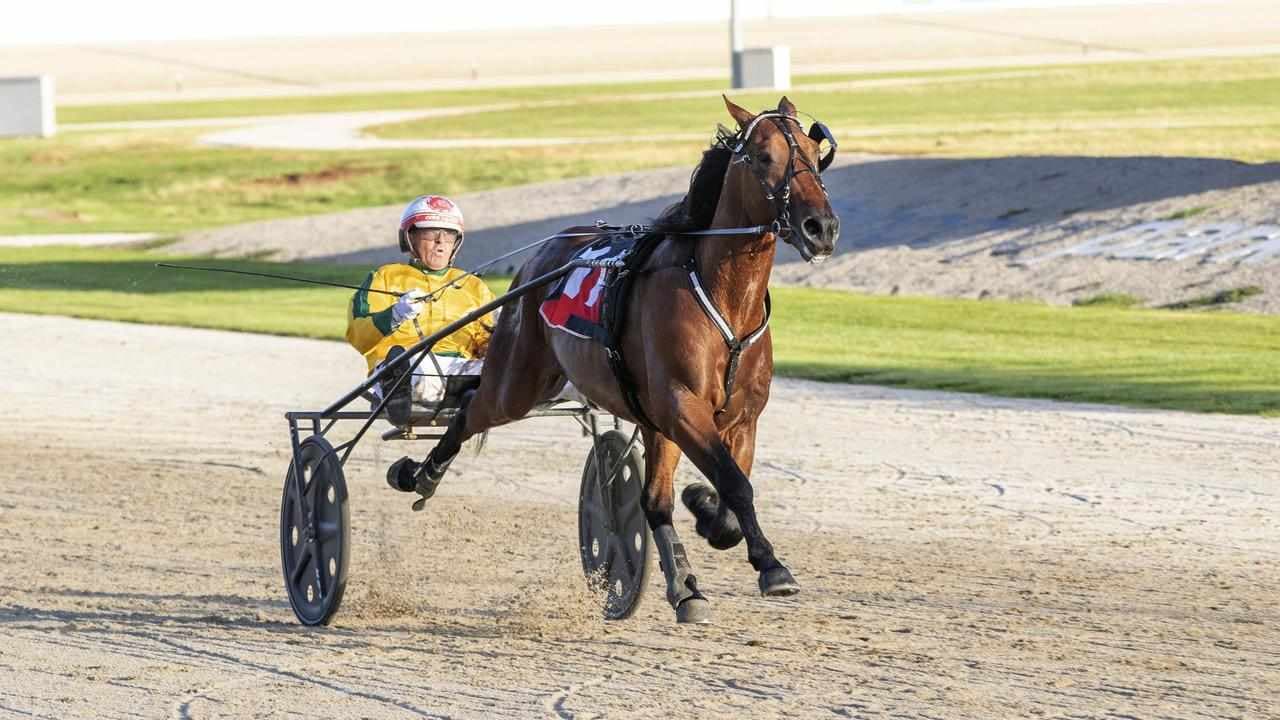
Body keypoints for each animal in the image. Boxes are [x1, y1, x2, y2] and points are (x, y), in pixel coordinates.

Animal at [405, 95, 839, 623]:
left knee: (652, 500)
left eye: (816, 156)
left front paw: (705, 511)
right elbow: (735, 485)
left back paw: (684, 585)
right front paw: (773, 568)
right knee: (472, 409)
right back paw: (422, 475)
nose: (821, 227)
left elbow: (725, 495)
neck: (725, 298)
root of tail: (542, 256)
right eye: (761, 157)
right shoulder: (681, 406)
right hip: (518, 382)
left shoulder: (740, 416)